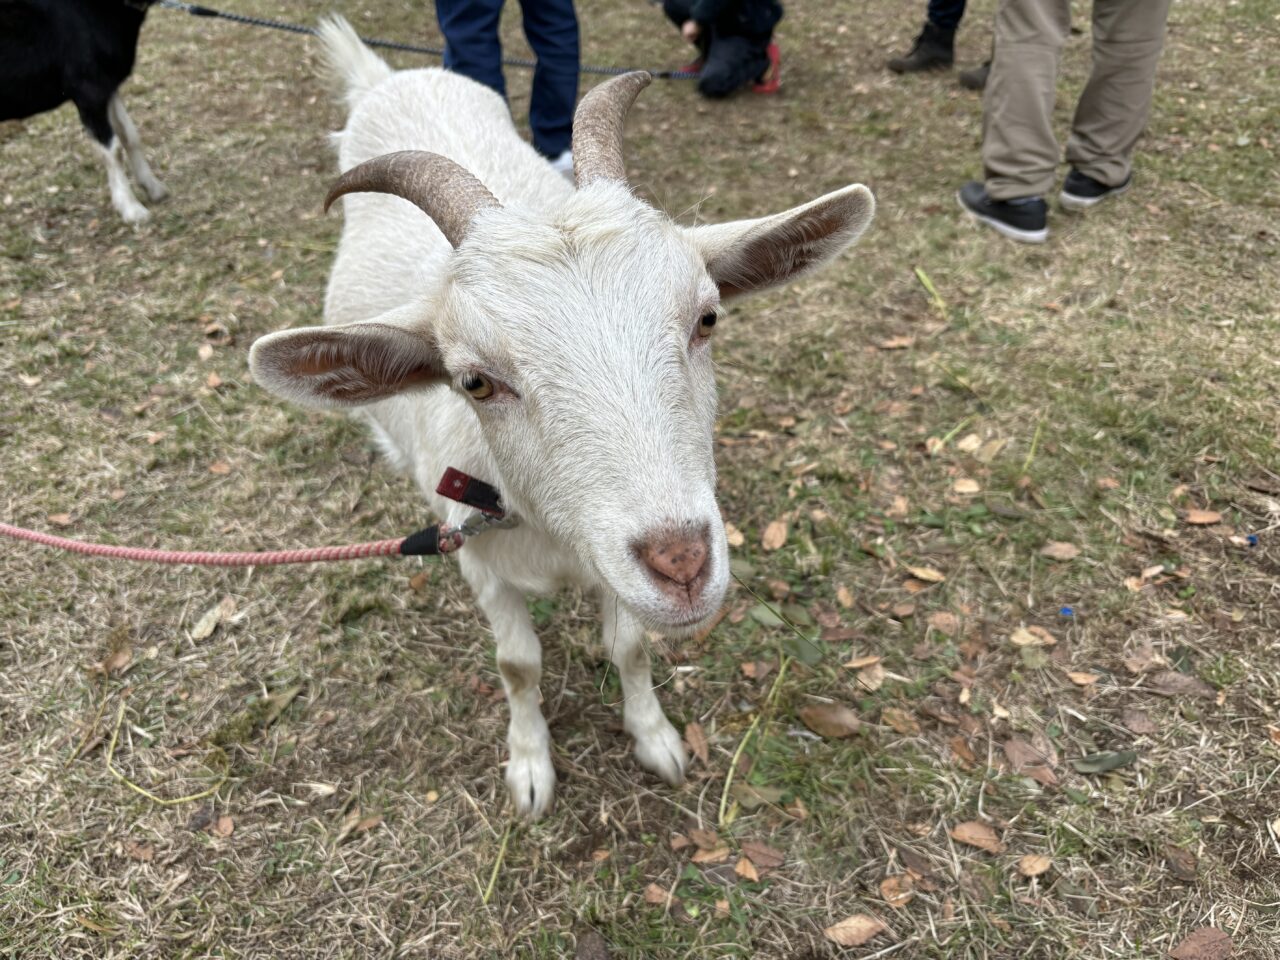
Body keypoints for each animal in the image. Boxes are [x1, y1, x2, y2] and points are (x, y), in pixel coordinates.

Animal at [1, 0, 168, 224]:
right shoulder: (88, 89)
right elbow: (113, 150)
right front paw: (132, 209)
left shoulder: (106, 86)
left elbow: (129, 134)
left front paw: (154, 189)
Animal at [249, 18, 870, 814]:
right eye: (474, 381)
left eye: (706, 318)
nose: (681, 565)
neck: (547, 532)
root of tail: (389, 76)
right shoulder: (473, 555)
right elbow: (517, 663)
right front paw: (530, 765)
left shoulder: (609, 570)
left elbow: (629, 644)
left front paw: (655, 738)